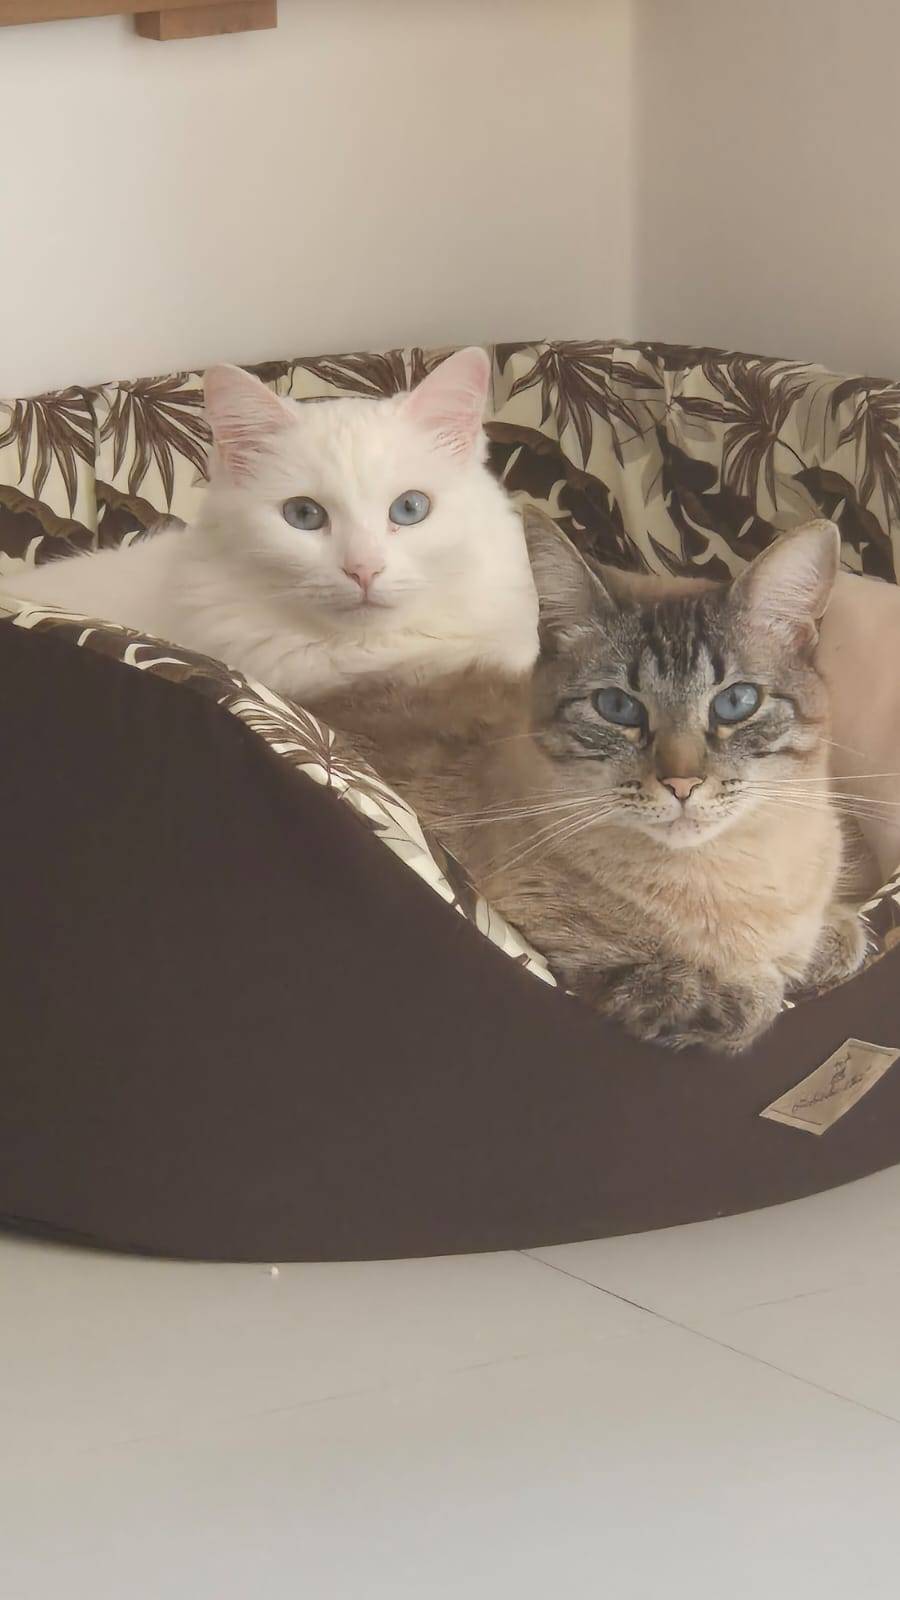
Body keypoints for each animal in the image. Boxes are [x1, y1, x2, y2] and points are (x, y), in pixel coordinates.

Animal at [316, 511, 867, 1053]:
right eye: (618, 707)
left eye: (736, 703)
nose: (681, 783)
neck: (737, 870)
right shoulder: (595, 961)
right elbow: (754, 999)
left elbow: (839, 939)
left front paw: (829, 941)